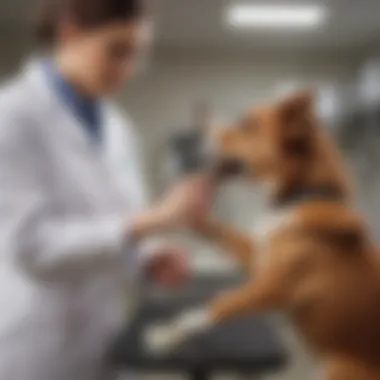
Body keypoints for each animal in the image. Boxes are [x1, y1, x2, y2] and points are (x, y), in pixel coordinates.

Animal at [145, 92, 380, 380]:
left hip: (337, 365)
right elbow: (217, 229)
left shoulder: (271, 287)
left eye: (247, 124)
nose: (196, 129)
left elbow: (218, 304)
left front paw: (167, 335)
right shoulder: (257, 256)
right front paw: (182, 208)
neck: (299, 198)